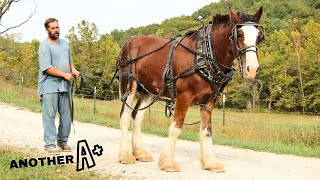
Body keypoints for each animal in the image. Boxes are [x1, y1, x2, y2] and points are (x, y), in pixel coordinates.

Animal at [116, 7, 264, 173]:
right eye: (239, 34)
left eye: (258, 36)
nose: (252, 69)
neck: (204, 55)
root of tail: (129, 42)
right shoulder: (183, 97)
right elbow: (176, 127)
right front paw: (168, 163)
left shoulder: (208, 101)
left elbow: (207, 131)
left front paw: (211, 163)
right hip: (129, 84)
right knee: (125, 116)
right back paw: (125, 155)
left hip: (147, 90)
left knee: (137, 116)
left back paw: (140, 152)